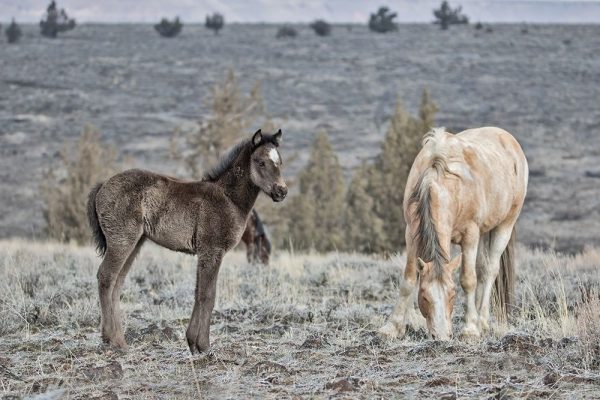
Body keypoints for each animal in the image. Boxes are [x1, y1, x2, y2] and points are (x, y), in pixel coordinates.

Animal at [86, 129, 288, 354]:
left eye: (280, 162)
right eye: (260, 162)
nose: (281, 191)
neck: (229, 199)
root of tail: (102, 185)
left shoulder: (205, 253)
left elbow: (198, 292)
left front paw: (192, 343)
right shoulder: (212, 251)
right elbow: (208, 295)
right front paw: (204, 346)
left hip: (134, 243)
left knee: (117, 283)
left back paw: (120, 340)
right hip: (121, 241)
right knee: (106, 277)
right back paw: (111, 340)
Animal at [380, 126, 528, 340]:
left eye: (452, 295)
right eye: (424, 295)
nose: (441, 336)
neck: (437, 181)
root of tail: (508, 139)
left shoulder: (470, 235)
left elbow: (468, 279)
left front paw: (470, 329)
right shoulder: (411, 233)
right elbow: (408, 280)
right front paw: (392, 327)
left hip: (505, 226)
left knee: (490, 270)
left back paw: (482, 321)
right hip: (485, 232)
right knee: (482, 268)